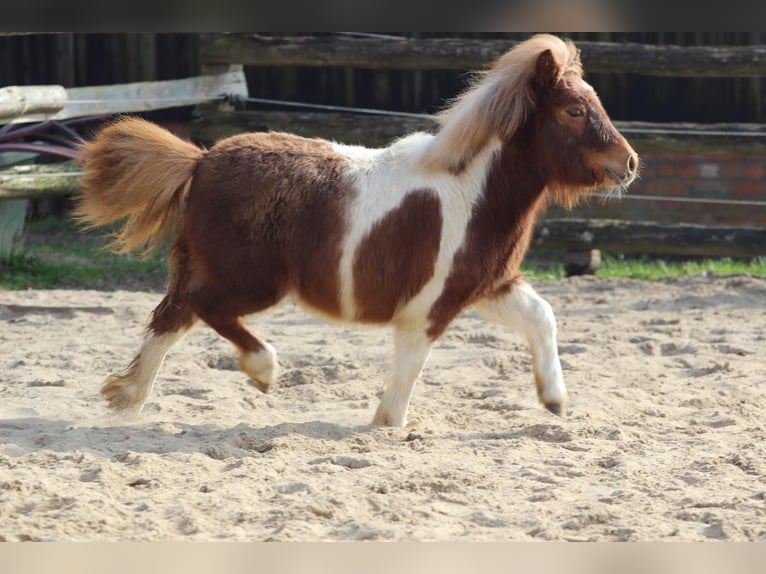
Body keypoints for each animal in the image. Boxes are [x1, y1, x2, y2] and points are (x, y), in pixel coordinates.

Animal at [75, 32, 640, 428]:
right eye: (574, 110)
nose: (629, 163)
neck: (473, 190)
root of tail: (201, 159)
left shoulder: (488, 285)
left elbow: (542, 317)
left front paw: (555, 401)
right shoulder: (429, 307)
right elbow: (407, 373)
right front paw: (388, 424)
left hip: (212, 270)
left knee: (170, 317)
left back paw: (127, 396)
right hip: (251, 281)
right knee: (203, 308)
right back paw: (263, 371)